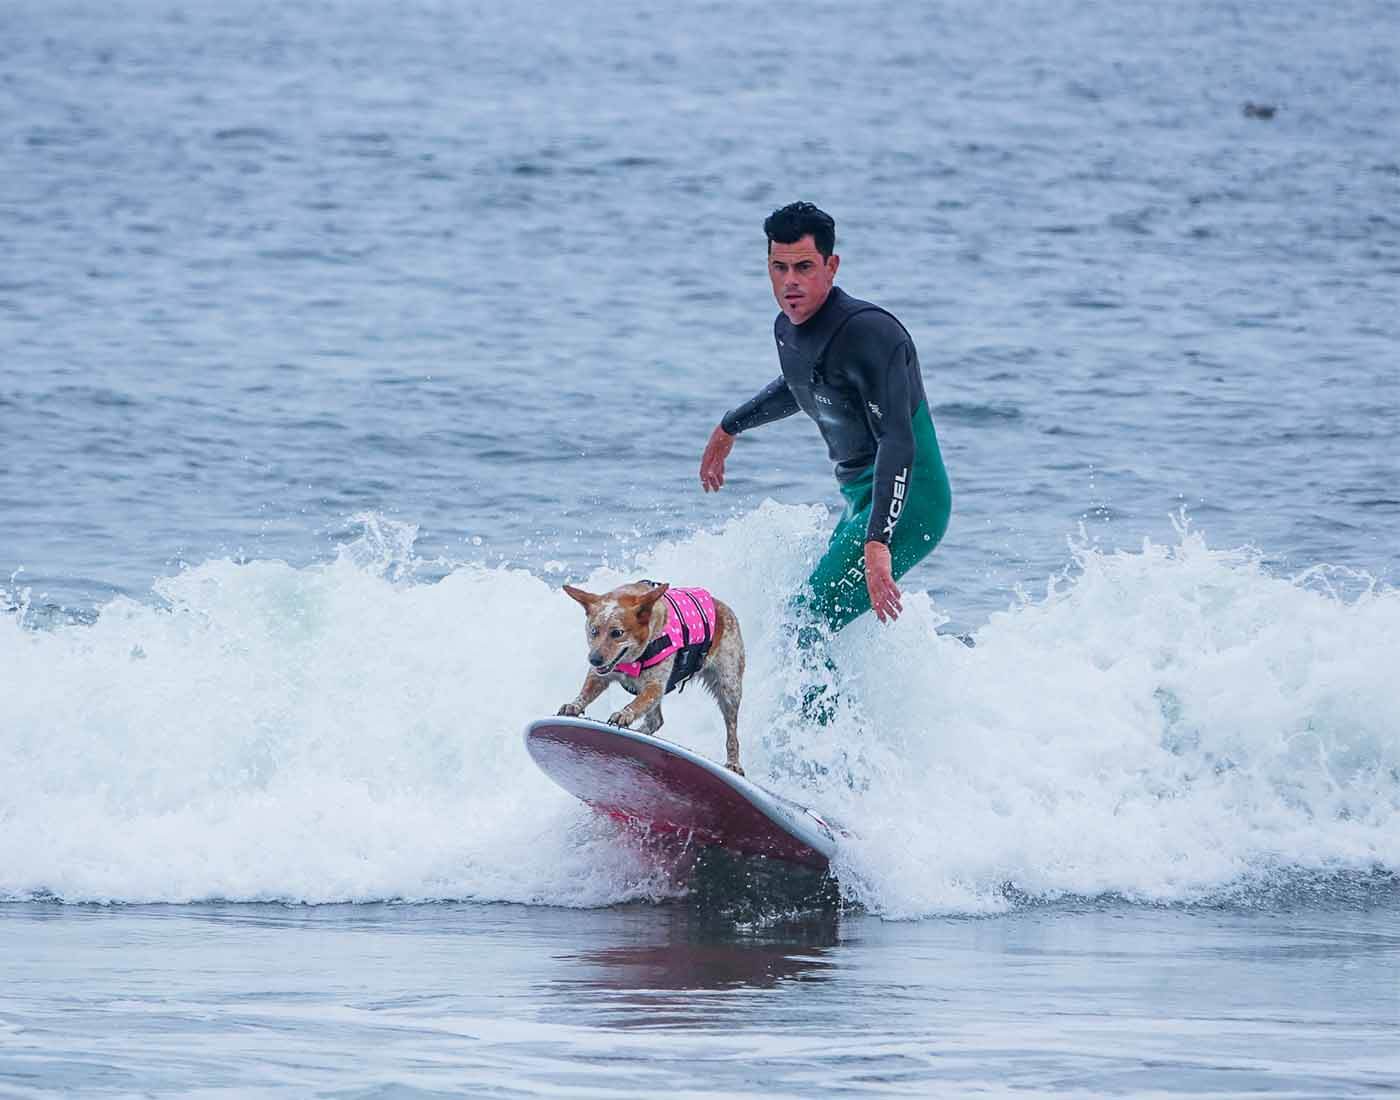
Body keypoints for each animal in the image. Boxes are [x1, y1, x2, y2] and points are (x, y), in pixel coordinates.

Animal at [557, 579, 750, 778]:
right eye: (593, 631)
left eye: (617, 633)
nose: (594, 659)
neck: (635, 658)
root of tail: (722, 606)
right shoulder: (600, 675)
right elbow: (586, 691)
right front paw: (574, 705)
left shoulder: (655, 686)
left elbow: (639, 702)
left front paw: (624, 714)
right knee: (656, 720)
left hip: (729, 688)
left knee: (732, 732)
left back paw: (733, 764)